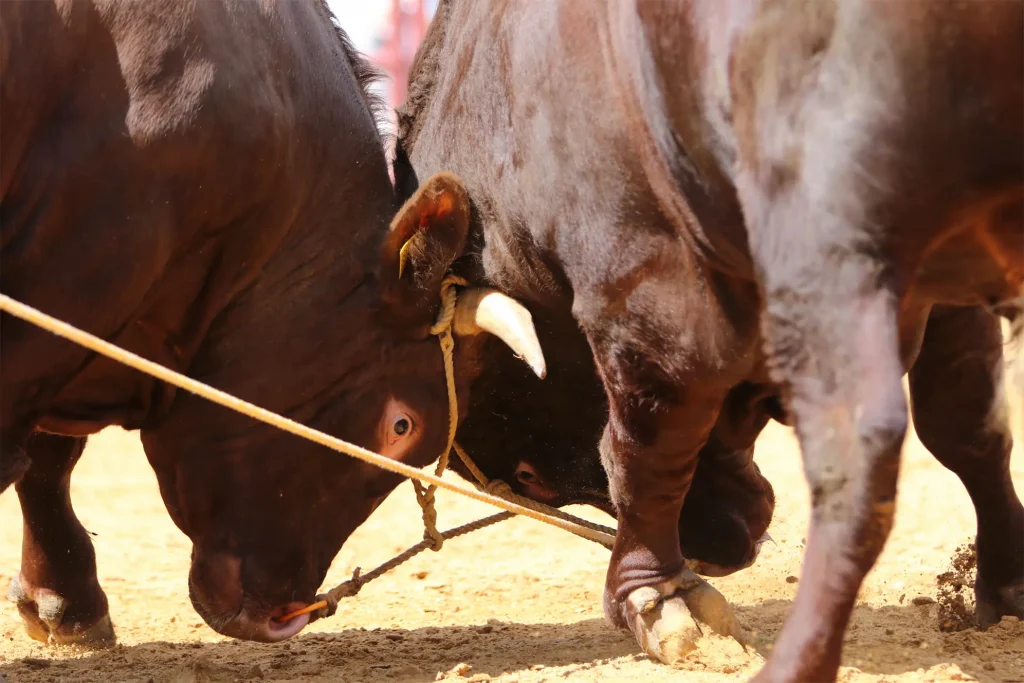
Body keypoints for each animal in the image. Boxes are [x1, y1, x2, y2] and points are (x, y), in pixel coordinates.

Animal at [393, 2, 1024, 679]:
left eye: (530, 477)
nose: (720, 549)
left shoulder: (644, 284)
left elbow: (639, 450)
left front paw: (656, 595)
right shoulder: (947, 275)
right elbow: (967, 428)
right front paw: (1007, 582)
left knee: (854, 460)